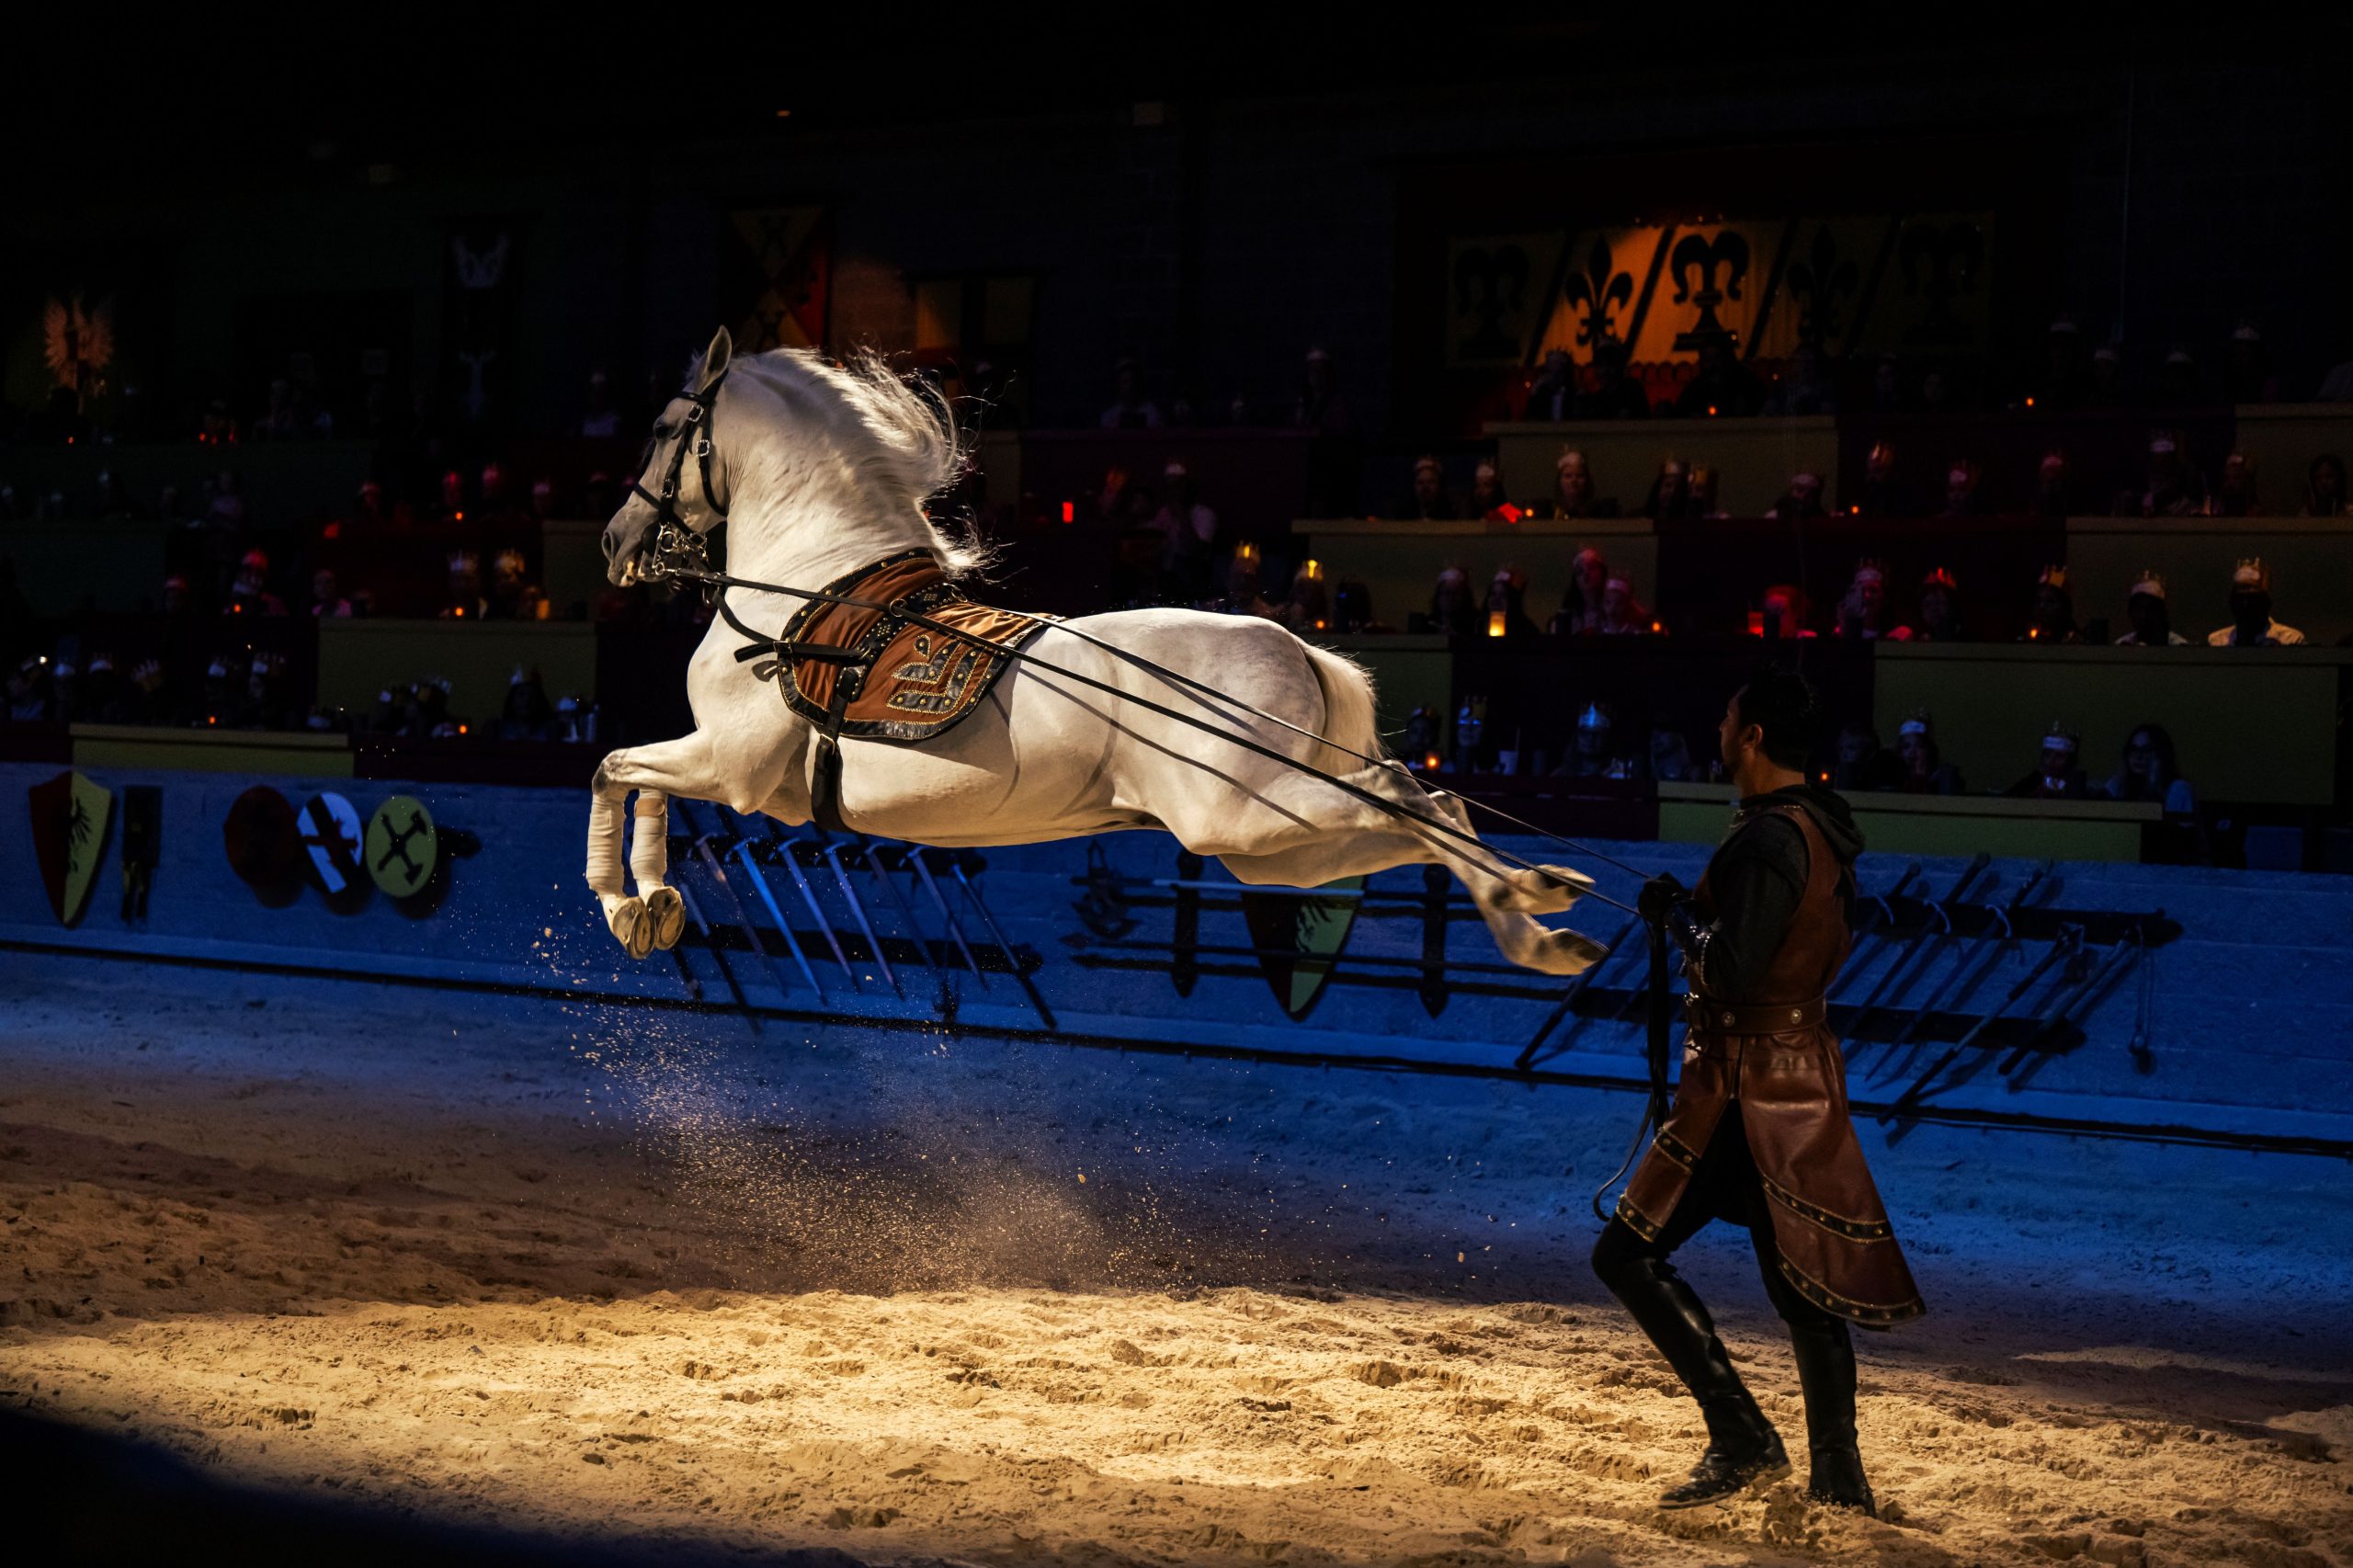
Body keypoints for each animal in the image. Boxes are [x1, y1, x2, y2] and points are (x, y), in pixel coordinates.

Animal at [586, 328, 1608, 976]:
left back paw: (1534, 921)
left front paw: (630, 903)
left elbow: (615, 767)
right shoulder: (725, 767)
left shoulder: (732, 766)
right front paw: (654, 909)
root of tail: (1295, 648)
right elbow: (634, 779)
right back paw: (1541, 913)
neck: (811, 588)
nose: (617, 541)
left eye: (663, 428)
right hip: (1278, 851)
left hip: (1244, 817)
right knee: (1421, 815)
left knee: (1413, 795)